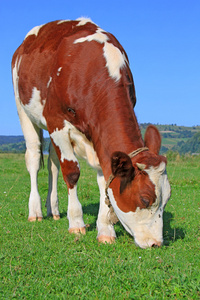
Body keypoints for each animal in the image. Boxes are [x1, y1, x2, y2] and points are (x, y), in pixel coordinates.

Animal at [11, 17, 170, 250]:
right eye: (145, 199)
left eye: (166, 199)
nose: (156, 243)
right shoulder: (56, 121)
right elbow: (71, 172)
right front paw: (76, 223)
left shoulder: (99, 136)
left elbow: (104, 179)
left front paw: (105, 230)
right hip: (24, 110)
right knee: (33, 158)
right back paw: (36, 212)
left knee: (52, 164)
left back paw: (54, 210)